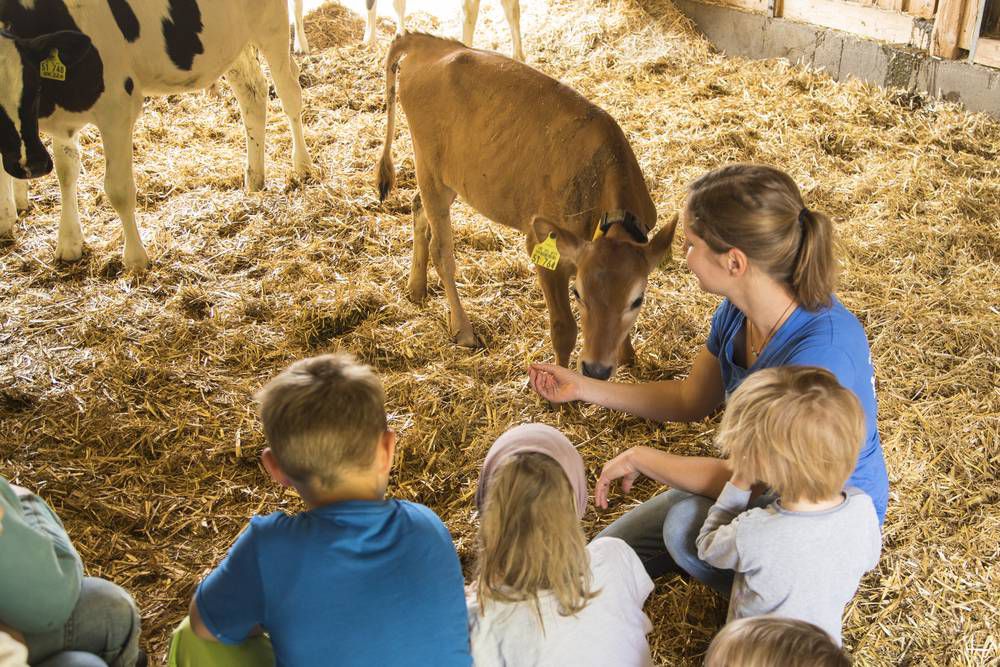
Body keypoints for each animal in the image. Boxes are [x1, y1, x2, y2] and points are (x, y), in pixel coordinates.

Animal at [0, 0, 312, 272]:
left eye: (33, 88)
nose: (31, 165)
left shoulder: (117, 105)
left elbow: (118, 189)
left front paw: (135, 258)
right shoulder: (63, 114)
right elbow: (66, 172)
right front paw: (68, 241)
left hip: (270, 24)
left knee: (289, 92)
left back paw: (302, 164)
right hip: (231, 41)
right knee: (253, 93)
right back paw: (255, 178)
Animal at [376, 32, 680, 380]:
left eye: (637, 300)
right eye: (578, 294)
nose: (596, 370)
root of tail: (432, 45)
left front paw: (627, 354)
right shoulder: (542, 246)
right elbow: (564, 328)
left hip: (450, 178)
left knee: (417, 209)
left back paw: (416, 287)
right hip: (430, 168)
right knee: (442, 251)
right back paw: (463, 328)